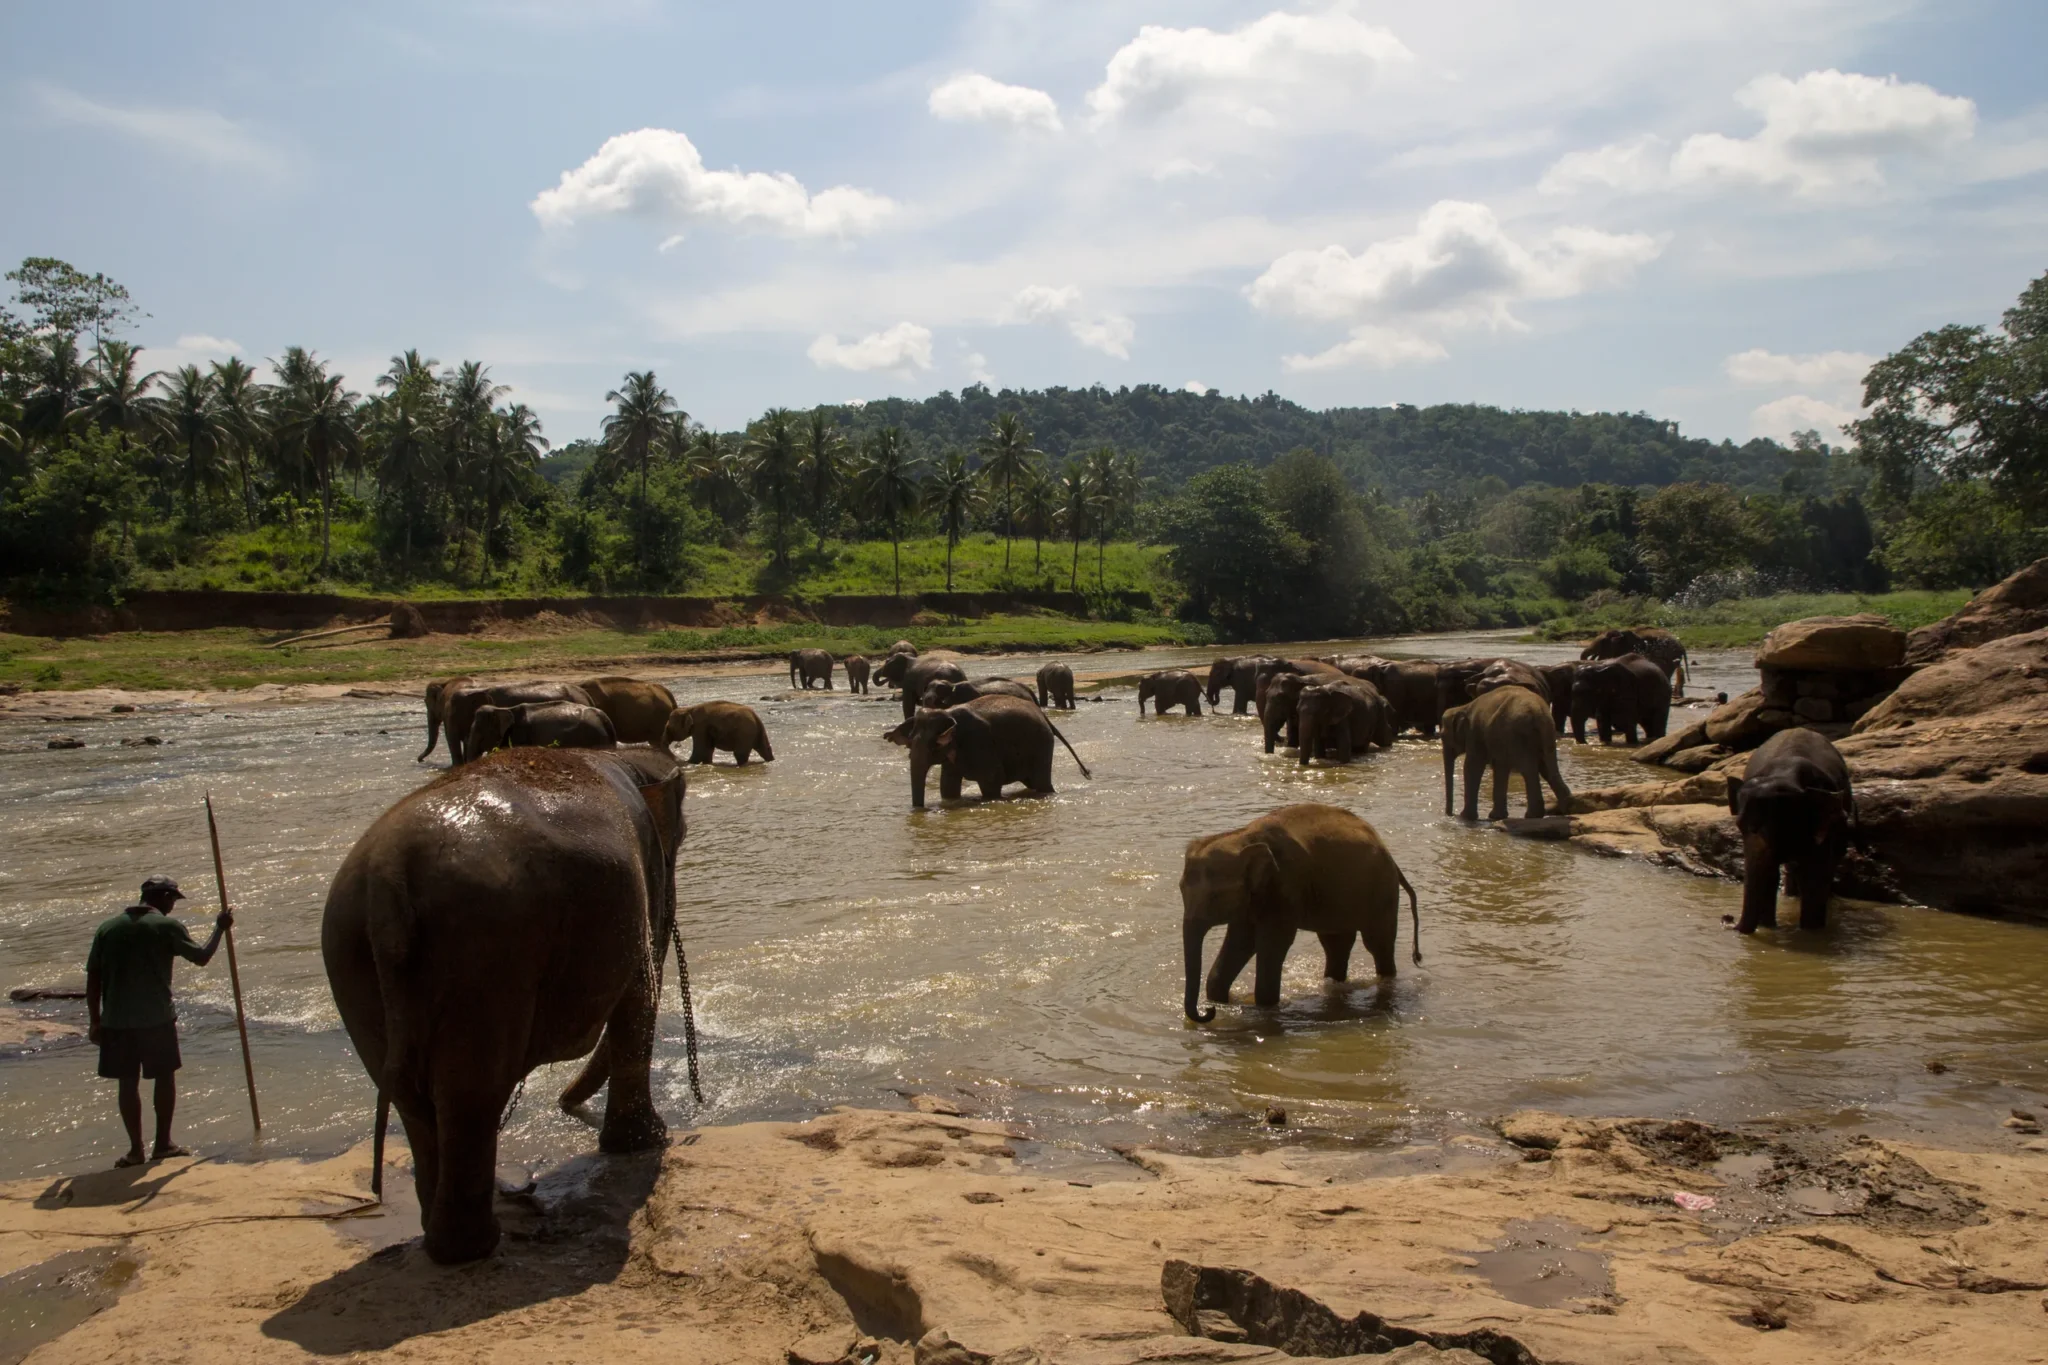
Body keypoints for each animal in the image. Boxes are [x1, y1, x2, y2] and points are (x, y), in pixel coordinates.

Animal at [322, 747, 685, 1263]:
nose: (564, 1103)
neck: (626, 758)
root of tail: (387, 876)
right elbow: (638, 997)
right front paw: (646, 1143)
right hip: (488, 951)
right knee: (471, 1092)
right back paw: (475, 1245)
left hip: (352, 952)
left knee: (412, 1096)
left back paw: (444, 1238)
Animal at [889, 694, 1091, 808]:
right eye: (909, 743)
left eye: (933, 746)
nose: (921, 810)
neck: (948, 712)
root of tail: (1044, 716)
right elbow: (947, 786)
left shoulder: (980, 742)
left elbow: (992, 780)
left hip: (1042, 745)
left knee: (1042, 783)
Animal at [1181, 802, 1420, 1020]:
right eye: (1181, 890)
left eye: (1215, 897)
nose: (1208, 1012)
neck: (1243, 837)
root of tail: (1391, 857)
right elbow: (1241, 942)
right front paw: (1220, 1001)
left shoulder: (1286, 886)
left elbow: (1272, 943)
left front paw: (1264, 1007)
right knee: (1336, 944)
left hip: (1382, 891)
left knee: (1377, 944)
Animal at [1441, 686, 1572, 821]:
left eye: (1442, 736)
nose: (1450, 814)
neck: (1464, 707)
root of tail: (1538, 712)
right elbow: (1497, 767)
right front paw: (1495, 816)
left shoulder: (1475, 733)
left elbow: (1472, 767)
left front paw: (1466, 817)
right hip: (1546, 735)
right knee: (1547, 769)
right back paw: (1564, 809)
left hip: (1517, 736)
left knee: (1528, 770)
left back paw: (1531, 815)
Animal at [1727, 728, 1857, 934]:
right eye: (1739, 826)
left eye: (1774, 827)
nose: (1727, 918)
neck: (1785, 774)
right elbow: (1769, 875)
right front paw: (1768, 928)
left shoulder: (1824, 827)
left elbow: (1815, 876)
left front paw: (1810, 932)